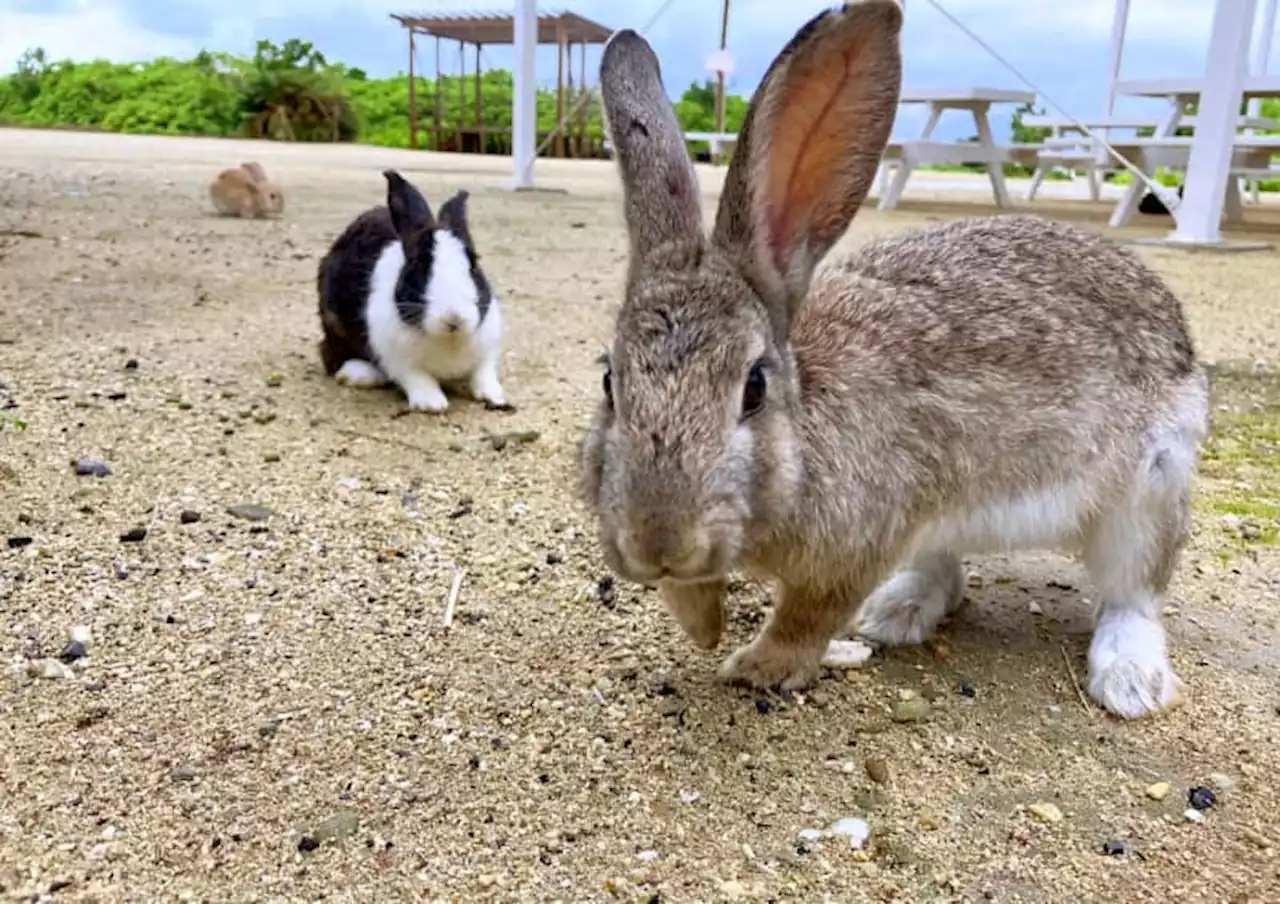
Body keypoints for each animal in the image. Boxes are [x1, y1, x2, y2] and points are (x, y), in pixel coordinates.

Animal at [314, 169, 509, 412]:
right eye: (418, 266)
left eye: (473, 263)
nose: (454, 318)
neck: (449, 339)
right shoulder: (399, 361)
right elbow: (417, 378)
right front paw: (433, 404)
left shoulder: (487, 352)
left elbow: (483, 373)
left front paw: (495, 396)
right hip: (333, 323)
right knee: (330, 356)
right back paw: (359, 374)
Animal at [581, 0, 1208, 717]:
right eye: (609, 381)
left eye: (754, 388)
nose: (658, 539)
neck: (804, 441)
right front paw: (704, 623)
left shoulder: (856, 543)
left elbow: (807, 616)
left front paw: (758, 667)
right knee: (946, 570)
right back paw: (895, 613)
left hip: (1151, 491)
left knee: (1134, 591)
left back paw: (1131, 681)